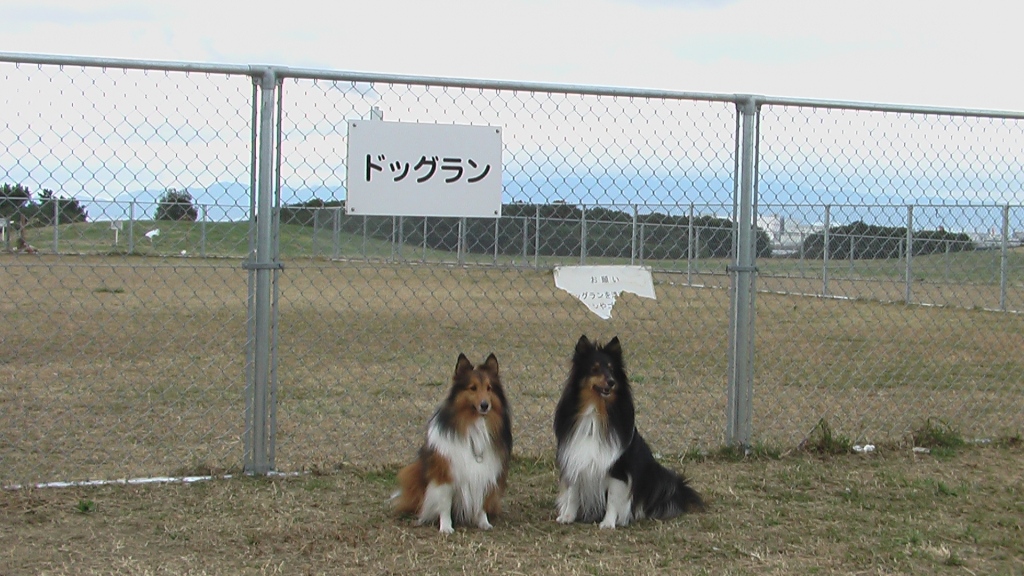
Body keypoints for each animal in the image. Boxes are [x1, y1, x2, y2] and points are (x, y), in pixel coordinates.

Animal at [392, 353, 512, 533]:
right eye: (472, 388)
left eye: (489, 388)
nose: (485, 405)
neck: (474, 424)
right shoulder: (445, 473)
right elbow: (444, 504)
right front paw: (446, 527)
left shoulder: (485, 473)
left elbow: (481, 503)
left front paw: (483, 522)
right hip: (412, 472)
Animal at [553, 335, 704, 528]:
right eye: (595, 368)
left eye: (612, 369)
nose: (611, 382)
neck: (596, 410)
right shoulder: (575, 457)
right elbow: (573, 493)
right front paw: (567, 517)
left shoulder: (618, 467)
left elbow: (613, 498)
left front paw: (608, 523)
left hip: (659, 478)